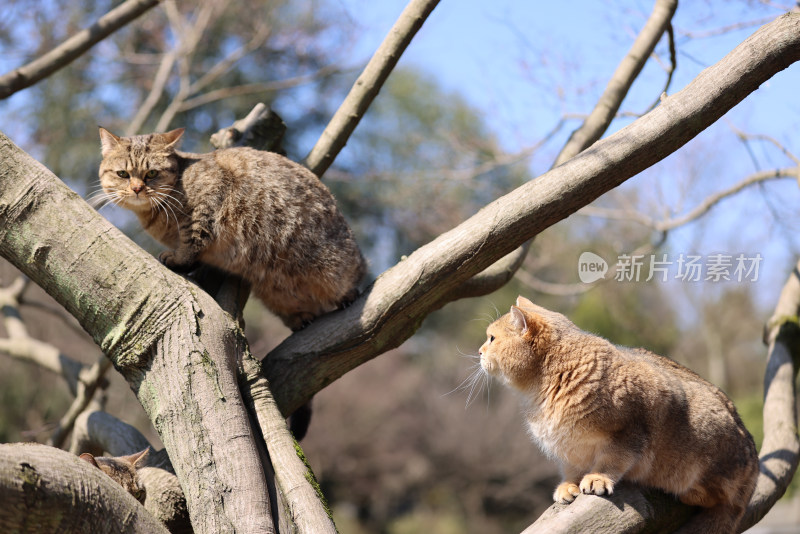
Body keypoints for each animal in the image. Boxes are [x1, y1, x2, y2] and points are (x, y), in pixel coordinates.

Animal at [96, 127, 366, 332]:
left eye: (151, 173)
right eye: (123, 174)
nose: (137, 189)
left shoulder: (206, 205)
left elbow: (191, 243)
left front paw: (178, 259)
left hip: (335, 264)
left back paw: (348, 294)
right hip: (275, 293)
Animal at [478, 298, 760, 534]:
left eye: (492, 338)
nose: (479, 352)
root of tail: (754, 469)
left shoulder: (629, 431)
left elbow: (612, 460)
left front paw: (598, 478)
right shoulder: (569, 448)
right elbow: (571, 469)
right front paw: (567, 485)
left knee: (722, 499)